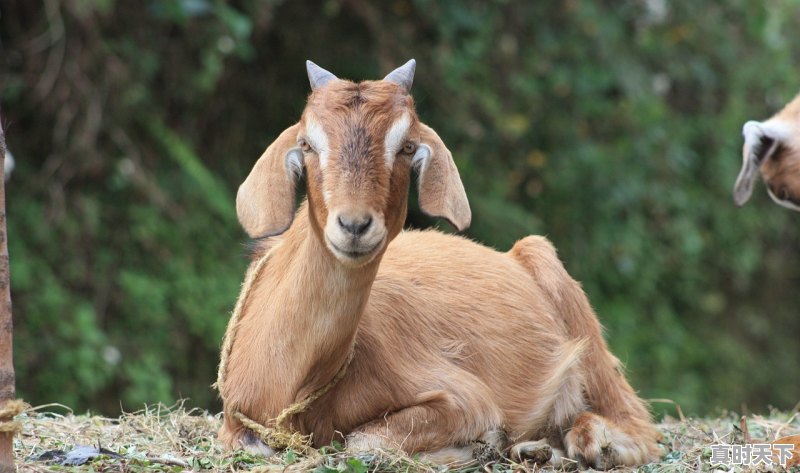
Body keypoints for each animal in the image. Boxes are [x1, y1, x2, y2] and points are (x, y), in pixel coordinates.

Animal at [216, 60, 660, 468]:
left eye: (407, 146)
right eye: (307, 143)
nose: (354, 225)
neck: (296, 382)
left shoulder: (464, 396)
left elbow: (363, 441)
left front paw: (482, 442)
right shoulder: (235, 425)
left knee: (634, 421)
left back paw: (588, 442)